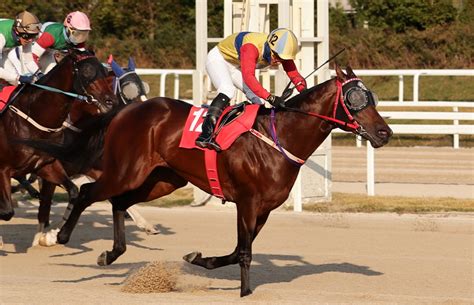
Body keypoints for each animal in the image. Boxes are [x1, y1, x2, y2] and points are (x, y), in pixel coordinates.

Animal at [0, 50, 117, 221]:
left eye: (103, 71)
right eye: (86, 71)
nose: (110, 101)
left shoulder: (46, 165)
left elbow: (73, 191)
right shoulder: (3, 169)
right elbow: (7, 212)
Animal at [36, 63, 392, 294]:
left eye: (371, 97)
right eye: (355, 99)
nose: (384, 133)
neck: (279, 138)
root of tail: (125, 110)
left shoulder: (263, 208)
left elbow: (237, 251)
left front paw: (199, 259)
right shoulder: (247, 202)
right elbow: (244, 252)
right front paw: (244, 293)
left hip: (162, 180)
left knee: (119, 202)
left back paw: (112, 253)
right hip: (126, 171)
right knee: (88, 192)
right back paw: (62, 236)